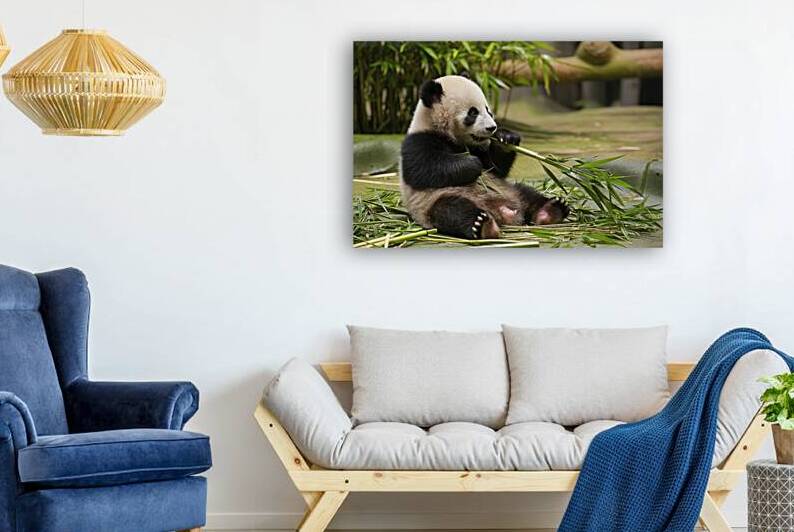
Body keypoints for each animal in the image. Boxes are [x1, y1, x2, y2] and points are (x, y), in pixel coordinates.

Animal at [400, 75, 569, 240]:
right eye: (473, 112)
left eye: (488, 110)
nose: (492, 128)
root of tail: (502, 211)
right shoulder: (418, 141)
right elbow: (423, 170)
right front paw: (473, 164)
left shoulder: (479, 148)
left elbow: (496, 168)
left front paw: (506, 138)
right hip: (435, 201)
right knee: (453, 210)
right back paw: (483, 225)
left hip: (510, 190)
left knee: (528, 194)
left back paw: (552, 209)